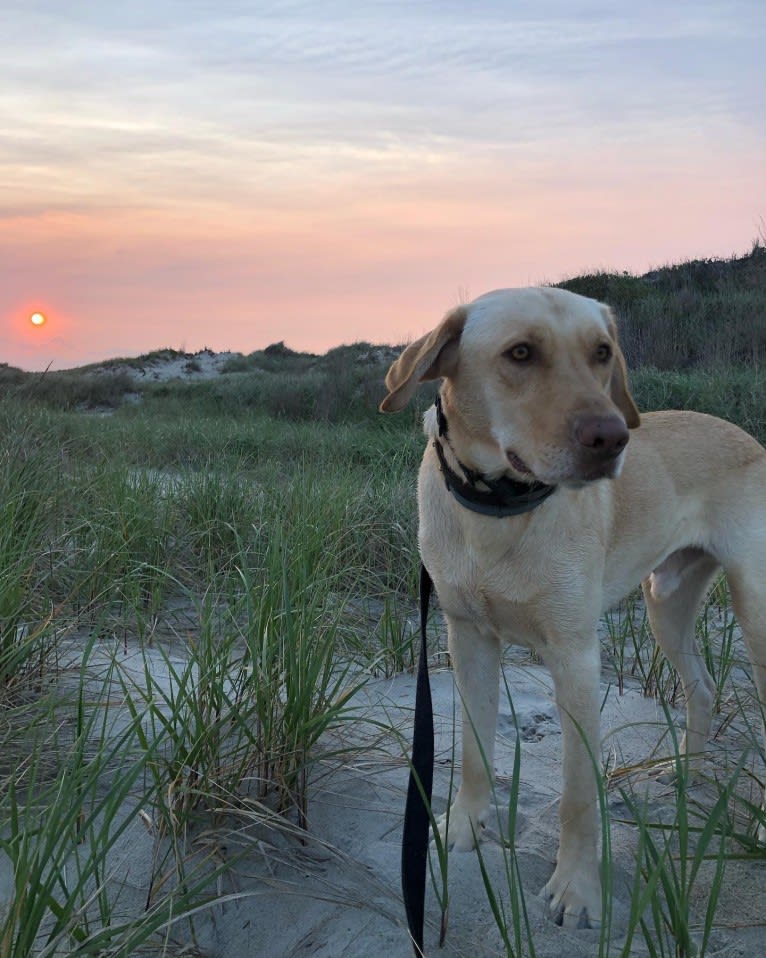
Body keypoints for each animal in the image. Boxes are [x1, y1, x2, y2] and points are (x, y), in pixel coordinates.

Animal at [380, 286, 766, 928]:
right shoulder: (468, 640)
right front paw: (462, 829)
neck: (500, 511)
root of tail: (749, 438)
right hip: (665, 604)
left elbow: (579, 797)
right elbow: (474, 752)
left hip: (756, 612)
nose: (612, 439)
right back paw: (685, 773)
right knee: (703, 688)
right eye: (520, 353)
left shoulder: (577, 659)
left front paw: (577, 889)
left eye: (602, 352)